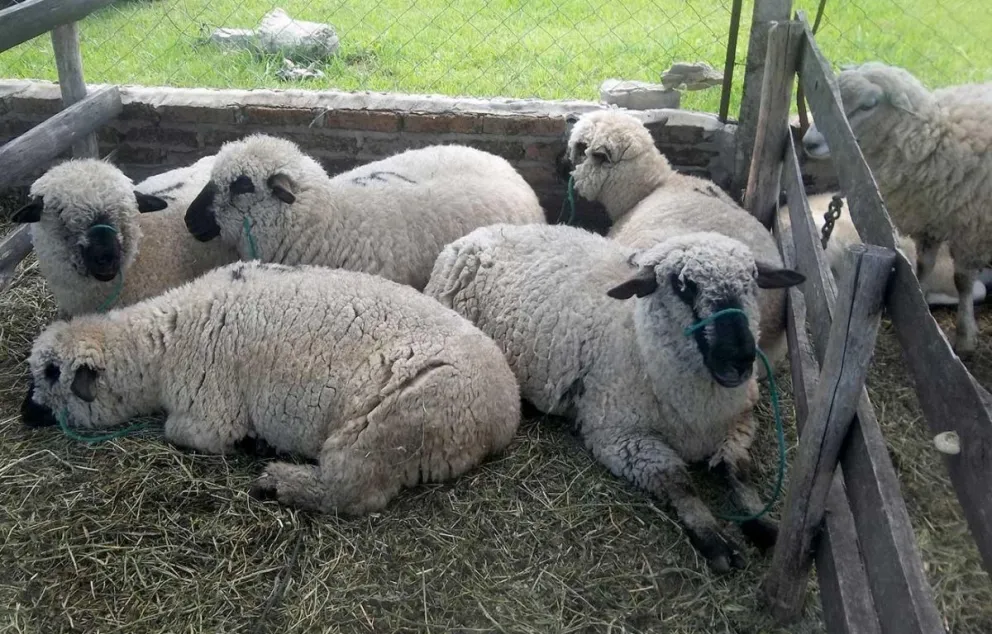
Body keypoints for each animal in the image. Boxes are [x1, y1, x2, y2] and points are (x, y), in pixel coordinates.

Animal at [21, 260, 521, 516]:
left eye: (50, 374)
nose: (24, 415)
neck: (160, 344)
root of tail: (505, 415)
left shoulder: (207, 413)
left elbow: (180, 433)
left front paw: (249, 443)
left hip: (388, 422)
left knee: (353, 493)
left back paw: (279, 481)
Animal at [424, 223, 805, 572]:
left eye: (753, 280)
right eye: (683, 285)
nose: (740, 359)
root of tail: (476, 233)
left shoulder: (739, 422)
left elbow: (738, 472)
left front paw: (763, 524)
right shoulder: (621, 438)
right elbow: (679, 482)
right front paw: (714, 539)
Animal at [802, 62, 992, 355]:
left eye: (868, 105)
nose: (808, 142)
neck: (933, 137)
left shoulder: (970, 231)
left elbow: (962, 281)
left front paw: (964, 338)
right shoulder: (931, 222)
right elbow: (923, 266)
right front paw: (920, 308)